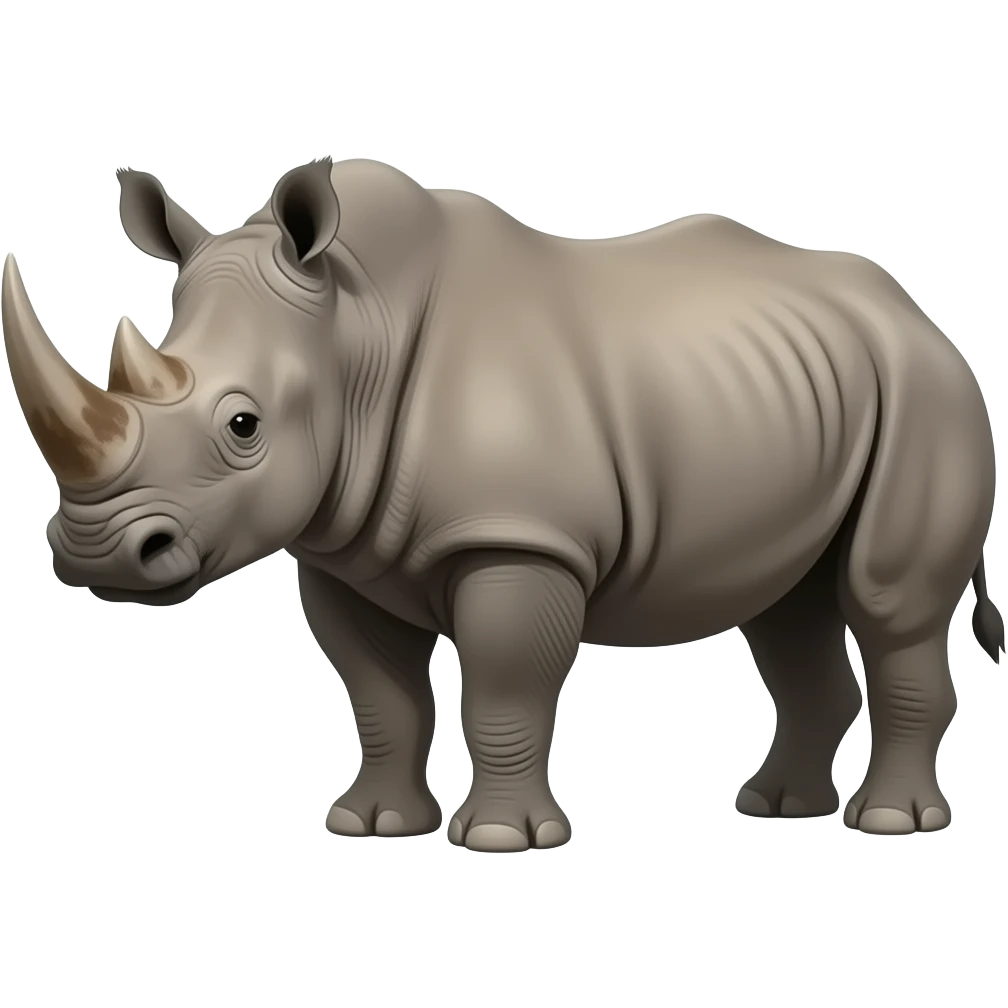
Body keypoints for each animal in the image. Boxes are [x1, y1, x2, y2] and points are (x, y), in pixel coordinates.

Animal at [1, 158, 1000, 849]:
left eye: (243, 426)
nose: (94, 555)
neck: (353, 327)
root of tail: (923, 318)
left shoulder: (521, 538)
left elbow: (505, 685)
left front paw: (499, 839)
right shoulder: (342, 548)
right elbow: (381, 694)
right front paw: (371, 826)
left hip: (929, 396)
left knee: (886, 603)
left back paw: (891, 823)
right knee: (788, 608)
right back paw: (775, 808)